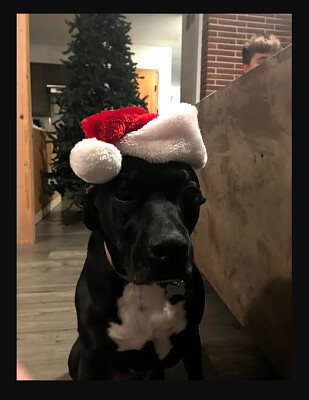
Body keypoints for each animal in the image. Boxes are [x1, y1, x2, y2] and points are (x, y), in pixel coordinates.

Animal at [68, 155, 206, 380]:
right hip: (75, 355)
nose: (171, 248)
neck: (141, 287)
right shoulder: (92, 354)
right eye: (124, 193)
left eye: (192, 195)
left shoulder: (191, 341)